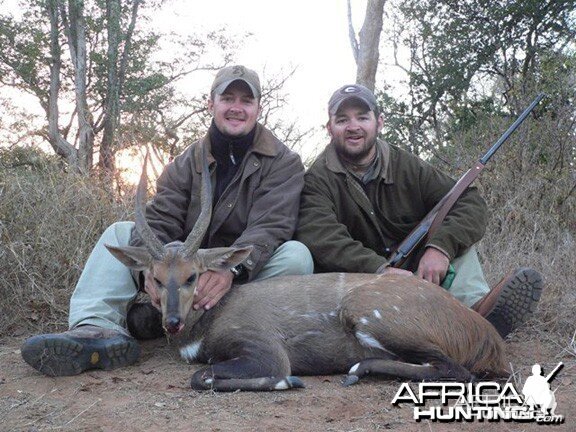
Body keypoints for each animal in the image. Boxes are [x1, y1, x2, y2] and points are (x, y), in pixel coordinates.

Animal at [106, 151, 506, 392]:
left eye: (192, 276)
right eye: (156, 279)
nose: (172, 321)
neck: (209, 319)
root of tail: (484, 333)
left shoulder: (264, 349)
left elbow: (203, 375)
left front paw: (290, 382)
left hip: (371, 315)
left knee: (456, 370)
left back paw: (357, 369)